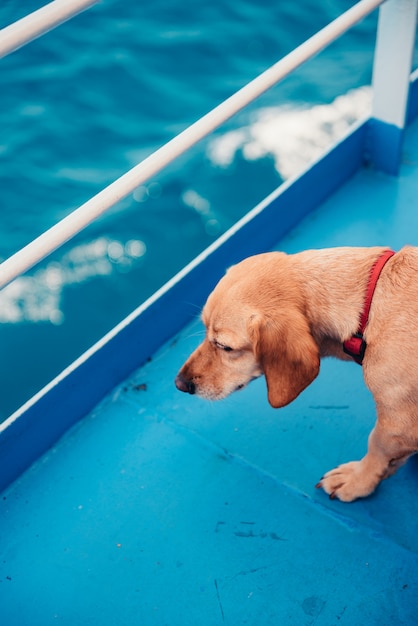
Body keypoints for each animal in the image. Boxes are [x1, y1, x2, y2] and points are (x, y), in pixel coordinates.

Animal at [175, 246, 418, 500]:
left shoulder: (398, 425)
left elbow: (376, 446)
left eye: (225, 346)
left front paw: (358, 479)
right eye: (204, 329)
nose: (179, 383)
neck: (368, 309)